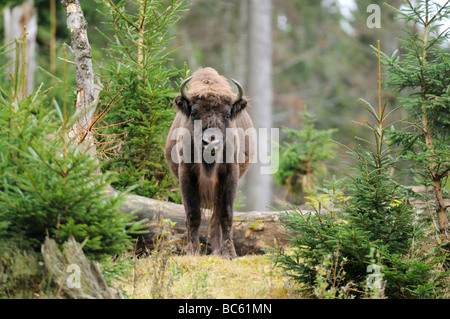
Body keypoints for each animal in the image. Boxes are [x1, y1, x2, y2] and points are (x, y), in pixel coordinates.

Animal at [166, 68, 256, 260]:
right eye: (194, 113)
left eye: (227, 114)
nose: (211, 143)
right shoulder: (186, 175)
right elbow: (193, 215)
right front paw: (192, 252)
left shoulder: (230, 175)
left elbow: (226, 215)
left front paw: (230, 254)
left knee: (216, 216)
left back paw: (217, 251)